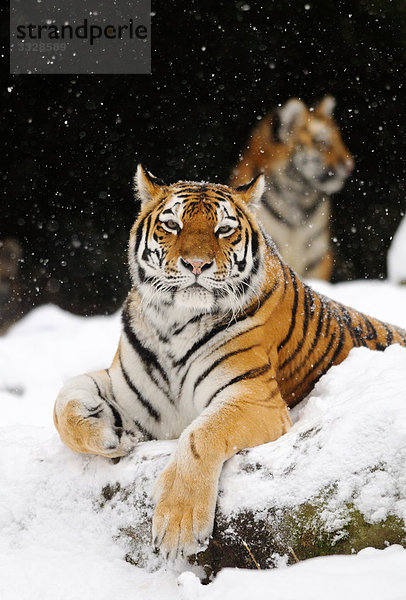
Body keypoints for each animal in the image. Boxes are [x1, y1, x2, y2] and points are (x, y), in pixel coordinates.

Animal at [52, 165, 404, 564]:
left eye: (223, 229)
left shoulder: (255, 399)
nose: (196, 264)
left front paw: (178, 527)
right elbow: (64, 402)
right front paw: (109, 434)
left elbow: (201, 434)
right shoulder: (129, 391)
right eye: (172, 225)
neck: (173, 325)